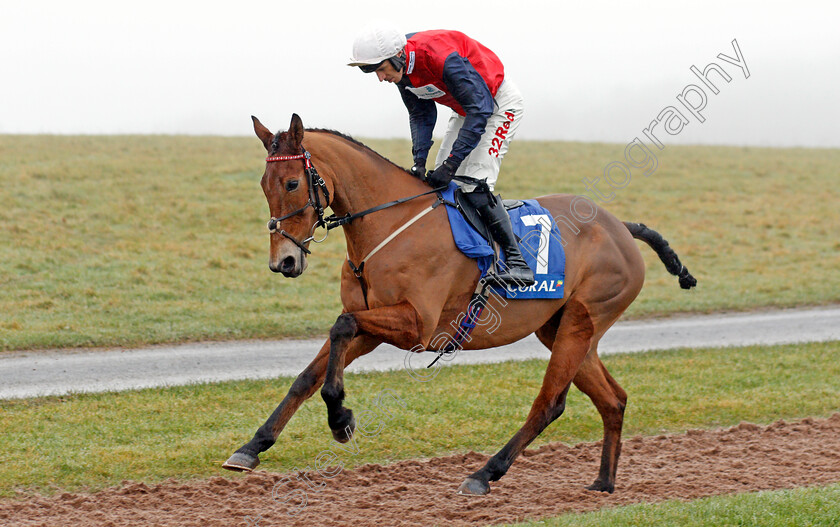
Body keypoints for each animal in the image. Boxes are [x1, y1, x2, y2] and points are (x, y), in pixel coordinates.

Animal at [223, 113, 696, 498]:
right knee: (613, 400)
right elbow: (308, 374)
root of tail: (620, 226)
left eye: (292, 183)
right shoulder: (374, 326)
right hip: (561, 327)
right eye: (264, 185)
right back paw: (603, 482)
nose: (283, 261)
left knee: (550, 403)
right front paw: (253, 446)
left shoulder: (416, 326)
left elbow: (341, 326)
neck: (391, 223)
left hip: (583, 320)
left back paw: (484, 474)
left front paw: (341, 419)